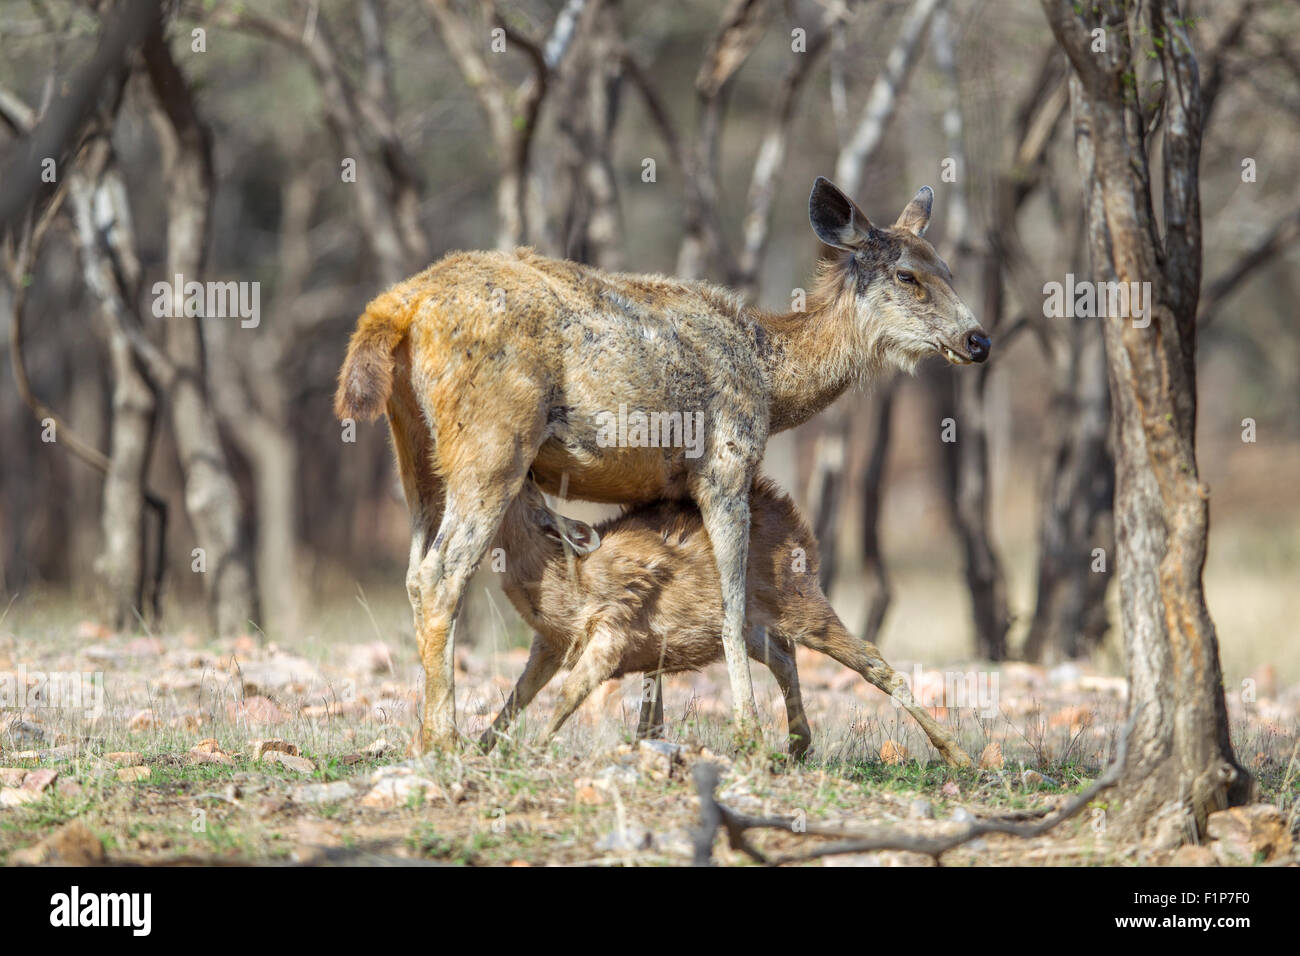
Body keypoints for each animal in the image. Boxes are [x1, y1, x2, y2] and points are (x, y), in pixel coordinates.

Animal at [332, 175, 982, 749]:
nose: (979, 340)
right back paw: (443, 741)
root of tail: (401, 305)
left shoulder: (659, 488)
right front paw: (748, 732)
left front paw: (653, 732)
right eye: (907, 275)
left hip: (415, 453)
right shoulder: (725, 468)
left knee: (414, 573)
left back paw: (431, 737)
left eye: (950, 270)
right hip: (493, 444)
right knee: (442, 575)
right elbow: (731, 601)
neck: (773, 381)